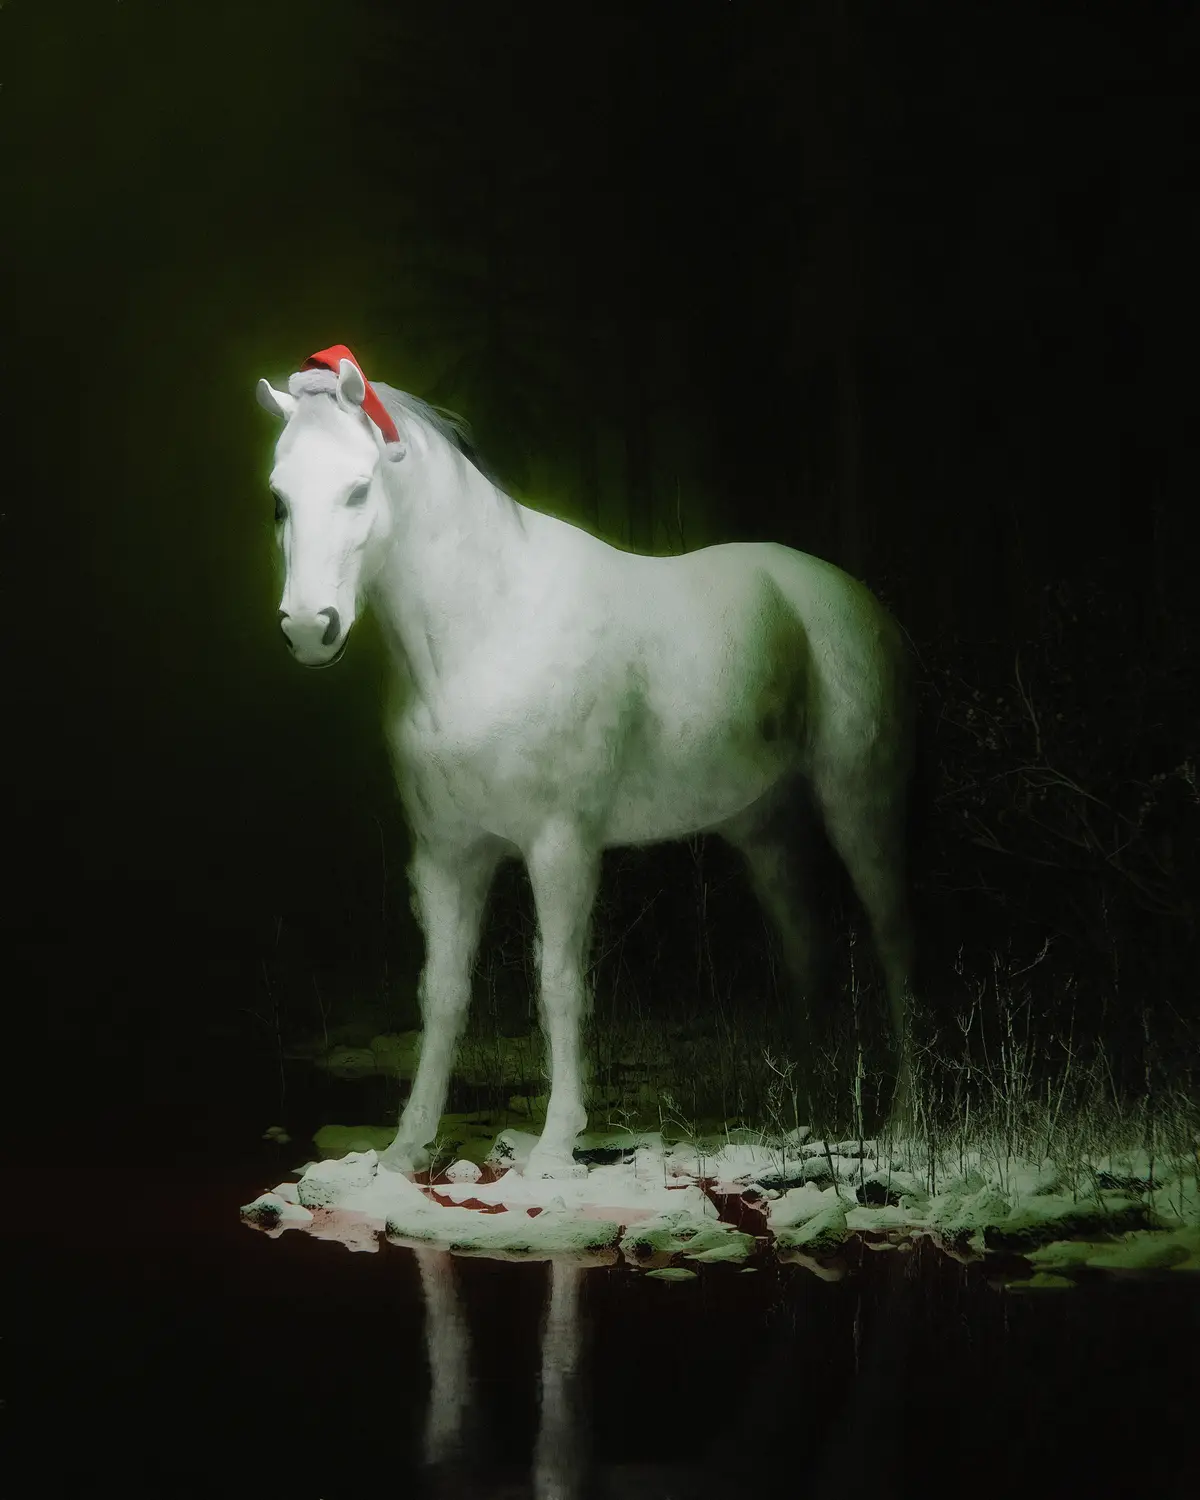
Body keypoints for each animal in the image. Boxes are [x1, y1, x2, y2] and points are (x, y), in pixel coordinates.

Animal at [256, 344, 915, 1177]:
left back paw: (904, 1122)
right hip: (765, 832)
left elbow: (560, 982)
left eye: (358, 488)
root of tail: (862, 606)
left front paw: (554, 1144)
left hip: (863, 808)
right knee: (808, 952)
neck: (490, 628)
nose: (310, 628)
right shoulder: (446, 854)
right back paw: (803, 1123)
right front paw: (406, 1147)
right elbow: (442, 992)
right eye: (279, 500)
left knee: (897, 946)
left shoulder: (560, 844)